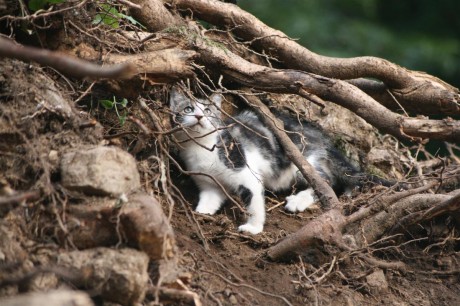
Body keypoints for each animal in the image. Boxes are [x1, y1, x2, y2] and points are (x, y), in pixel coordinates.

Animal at [170, 87, 384, 235]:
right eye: (188, 108)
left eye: (207, 110)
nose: (199, 116)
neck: (201, 148)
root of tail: (323, 137)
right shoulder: (208, 184)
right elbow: (210, 199)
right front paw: (203, 212)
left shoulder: (245, 171)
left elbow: (254, 201)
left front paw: (253, 228)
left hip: (301, 163)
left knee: (326, 181)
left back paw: (298, 200)